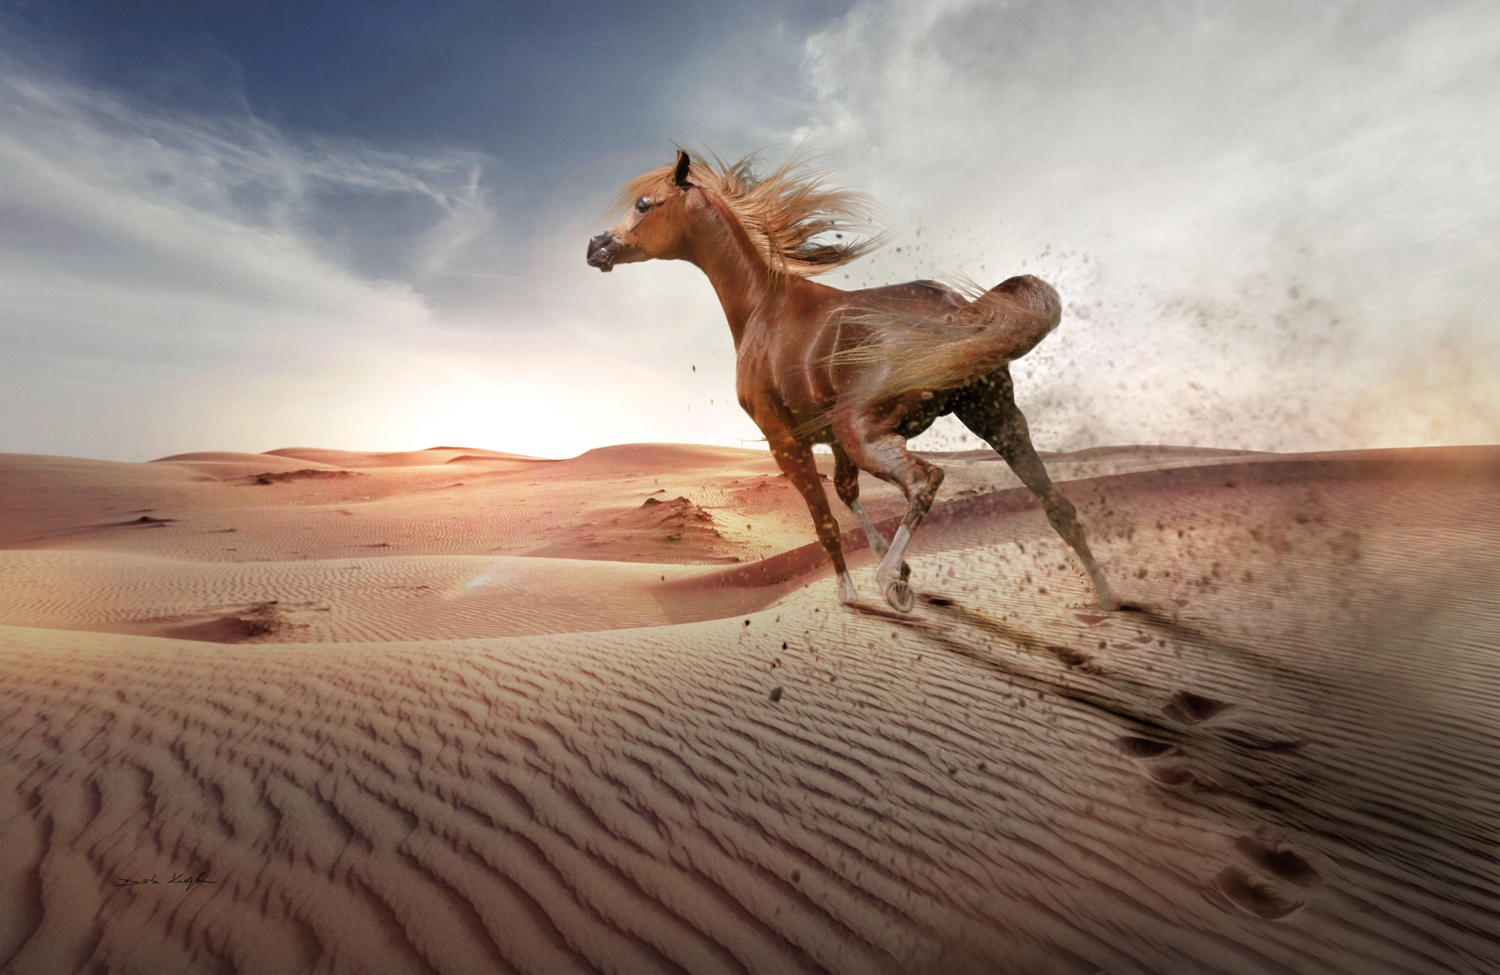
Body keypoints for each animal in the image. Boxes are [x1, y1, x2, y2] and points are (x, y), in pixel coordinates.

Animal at [587, 149, 1121, 614]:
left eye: (643, 204)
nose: (596, 247)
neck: (763, 304)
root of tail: (956, 309)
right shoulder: (832, 439)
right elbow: (847, 494)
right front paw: (900, 566)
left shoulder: (786, 441)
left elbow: (824, 519)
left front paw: (858, 588)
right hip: (996, 419)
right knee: (1057, 505)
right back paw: (1108, 597)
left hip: (868, 433)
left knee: (925, 480)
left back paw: (888, 585)